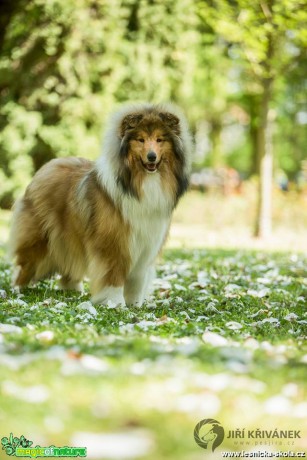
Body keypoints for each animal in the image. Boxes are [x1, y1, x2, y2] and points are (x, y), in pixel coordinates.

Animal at [9, 104, 192, 306]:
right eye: (140, 139)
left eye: (160, 139)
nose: (151, 157)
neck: (140, 182)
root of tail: (46, 167)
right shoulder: (113, 242)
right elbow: (114, 274)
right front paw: (115, 303)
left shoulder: (147, 244)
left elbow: (137, 279)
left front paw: (135, 305)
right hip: (39, 239)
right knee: (24, 264)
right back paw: (17, 290)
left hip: (69, 238)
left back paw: (72, 290)